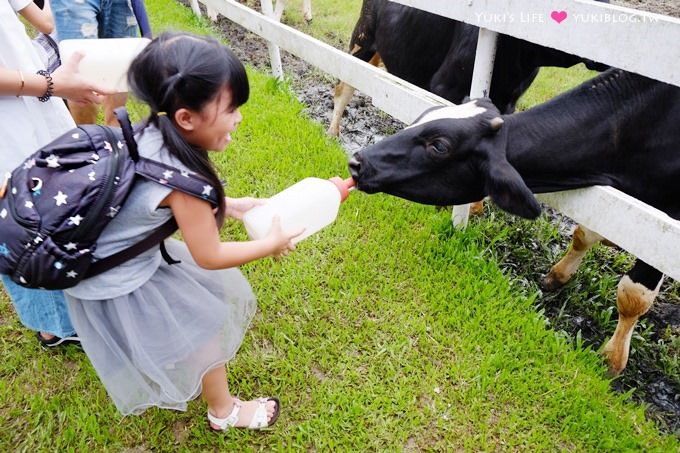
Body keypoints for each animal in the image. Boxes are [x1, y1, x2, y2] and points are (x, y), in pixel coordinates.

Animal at [348, 69, 680, 374]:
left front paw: (612, 358)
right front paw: (559, 275)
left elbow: (634, 294)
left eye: (439, 146)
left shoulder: (665, 223)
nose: (356, 162)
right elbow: (586, 233)